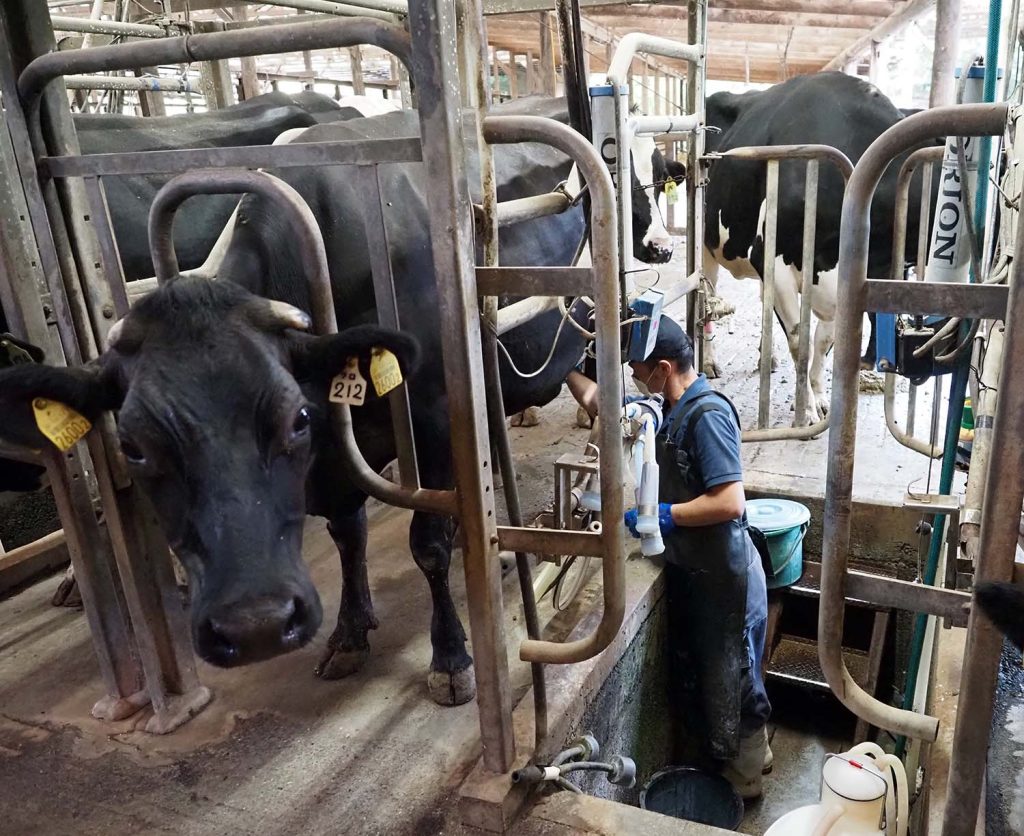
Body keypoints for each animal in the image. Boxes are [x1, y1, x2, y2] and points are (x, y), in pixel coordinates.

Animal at [2, 94, 679, 704]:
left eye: (292, 418)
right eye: (134, 447)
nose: (252, 627)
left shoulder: (434, 419)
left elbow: (426, 546)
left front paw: (450, 658)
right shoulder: (335, 453)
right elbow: (348, 533)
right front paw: (351, 633)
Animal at [704, 71, 937, 424]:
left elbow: (824, 341)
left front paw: (822, 397)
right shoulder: (773, 260)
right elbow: (800, 342)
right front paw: (807, 410)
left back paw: (766, 357)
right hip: (707, 244)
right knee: (707, 297)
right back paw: (708, 361)